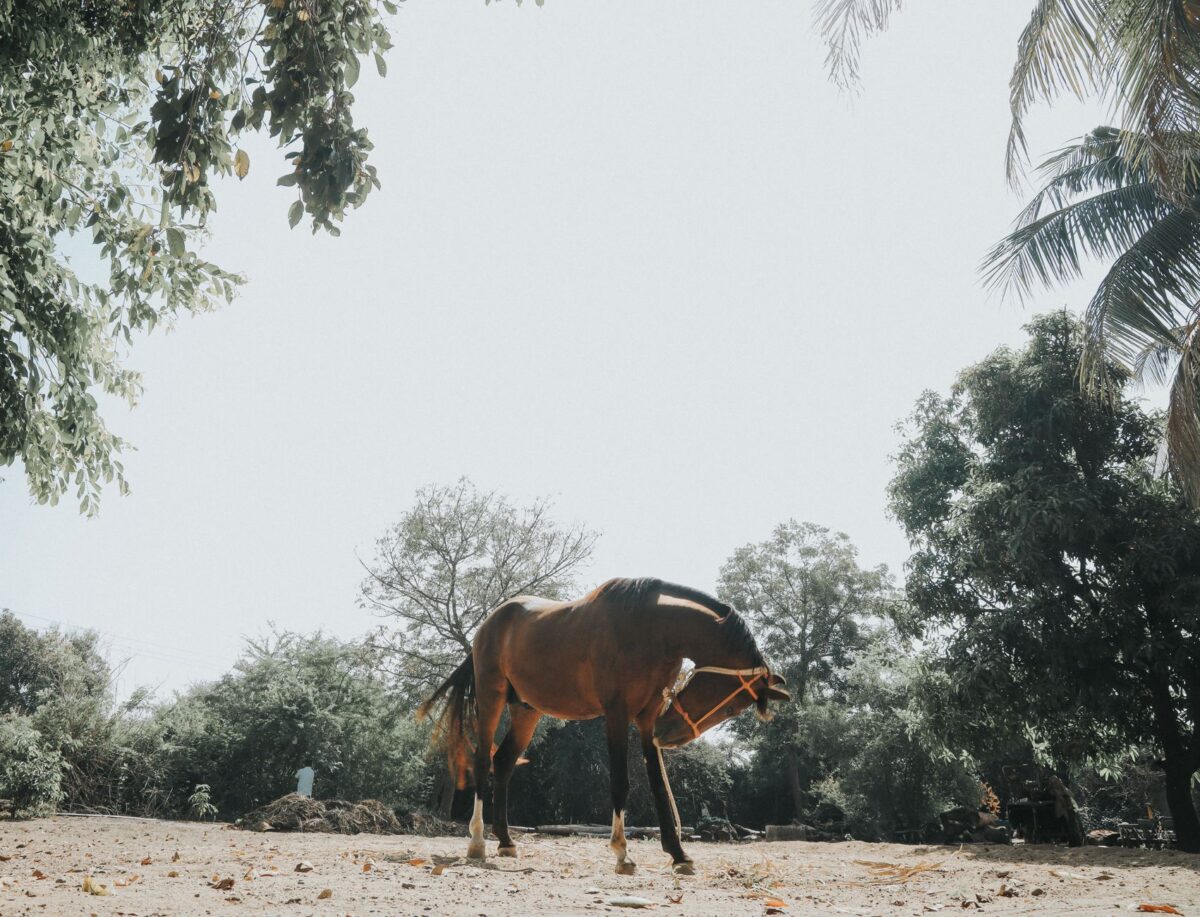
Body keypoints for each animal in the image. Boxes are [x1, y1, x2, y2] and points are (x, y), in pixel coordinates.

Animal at [417, 576, 789, 875]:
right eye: (730, 706)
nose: (668, 735)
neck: (651, 628)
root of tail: (490, 623)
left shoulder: (647, 717)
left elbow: (658, 786)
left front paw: (678, 853)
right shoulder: (617, 713)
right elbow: (620, 783)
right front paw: (621, 852)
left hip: (526, 711)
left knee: (504, 763)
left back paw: (506, 841)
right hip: (491, 698)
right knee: (482, 762)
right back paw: (478, 842)